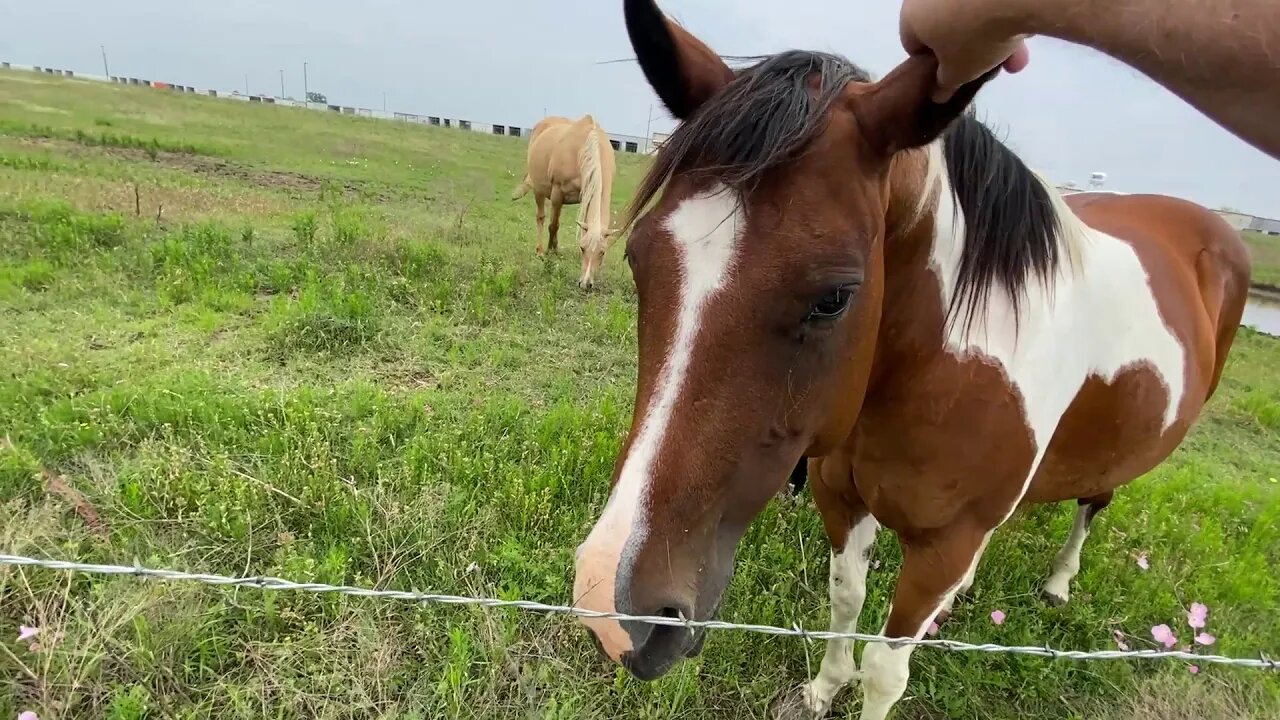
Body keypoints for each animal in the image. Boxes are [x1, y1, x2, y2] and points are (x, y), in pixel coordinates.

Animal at [509, 112, 619, 285]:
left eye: (602, 252)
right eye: (582, 248)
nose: (585, 284)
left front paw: (555, 248)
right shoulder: (557, 193)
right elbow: (553, 225)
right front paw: (549, 251)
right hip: (539, 189)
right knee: (541, 218)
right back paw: (540, 250)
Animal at [576, 2, 1254, 712]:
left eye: (834, 298)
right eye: (639, 259)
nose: (614, 609)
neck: (936, 369)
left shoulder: (943, 550)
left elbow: (885, 669)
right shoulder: (840, 496)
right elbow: (845, 601)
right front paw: (825, 688)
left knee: (1094, 504)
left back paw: (1060, 581)